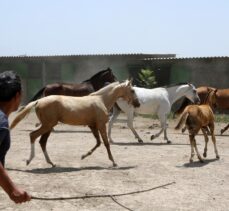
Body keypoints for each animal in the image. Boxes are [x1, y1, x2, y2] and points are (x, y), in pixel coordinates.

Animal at [10, 80, 140, 167]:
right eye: (132, 90)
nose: (137, 103)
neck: (101, 100)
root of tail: (38, 101)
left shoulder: (92, 126)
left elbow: (98, 142)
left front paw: (84, 156)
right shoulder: (101, 125)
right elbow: (106, 143)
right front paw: (113, 162)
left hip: (49, 126)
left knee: (42, 142)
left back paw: (51, 163)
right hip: (48, 125)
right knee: (33, 136)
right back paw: (29, 160)